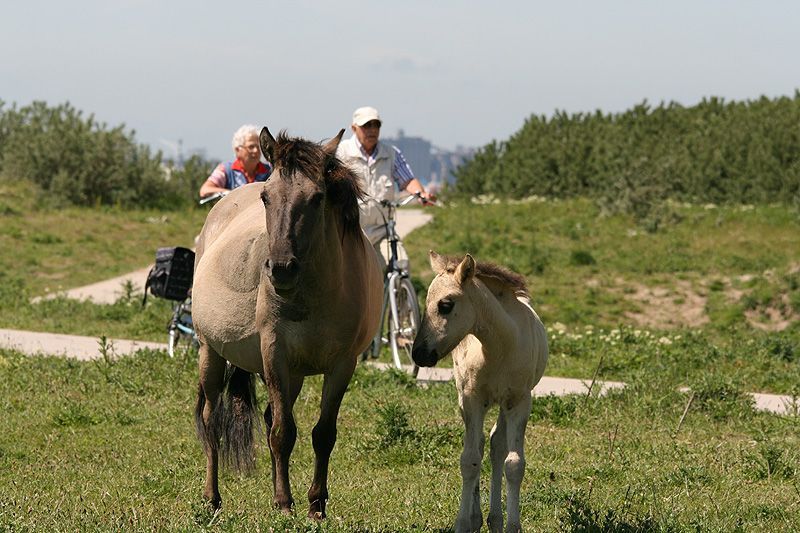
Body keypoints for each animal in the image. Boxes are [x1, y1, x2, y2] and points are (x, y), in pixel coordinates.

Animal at [192, 127, 382, 516]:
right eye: (266, 197)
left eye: (317, 197)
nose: (280, 269)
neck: (318, 293)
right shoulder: (275, 353)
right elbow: (283, 433)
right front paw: (283, 503)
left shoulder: (342, 365)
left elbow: (322, 434)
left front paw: (315, 504)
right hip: (210, 352)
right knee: (211, 421)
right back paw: (212, 498)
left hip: (292, 374)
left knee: (267, 420)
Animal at [412, 250, 552, 532]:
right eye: (426, 302)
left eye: (445, 305)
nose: (418, 353)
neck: (500, 347)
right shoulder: (473, 399)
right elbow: (470, 460)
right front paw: (462, 523)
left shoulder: (519, 401)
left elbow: (514, 464)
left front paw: (513, 525)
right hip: (467, 399)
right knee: (478, 444)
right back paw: (477, 518)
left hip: (502, 404)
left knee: (497, 446)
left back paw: (495, 519)